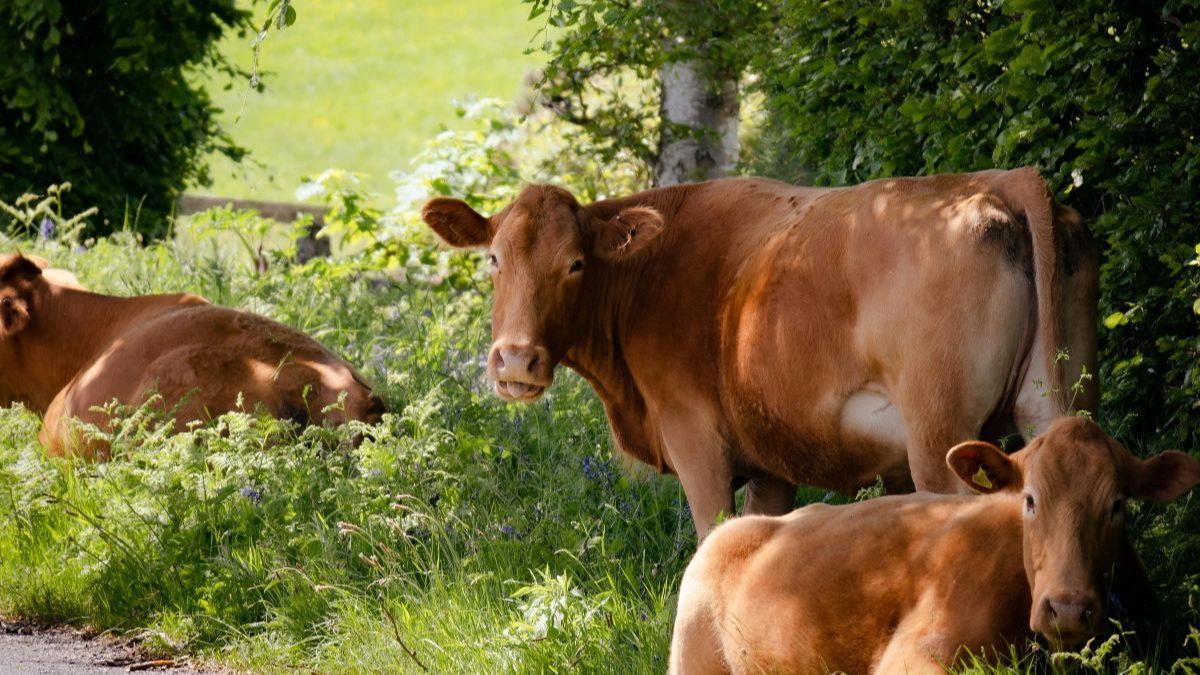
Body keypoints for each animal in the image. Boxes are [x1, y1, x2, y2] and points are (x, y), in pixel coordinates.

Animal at [420, 169, 1099, 535]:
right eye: (493, 258)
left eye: (576, 264)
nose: (515, 361)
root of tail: (999, 181)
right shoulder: (770, 458)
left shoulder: (695, 439)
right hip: (1059, 405)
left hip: (940, 442)